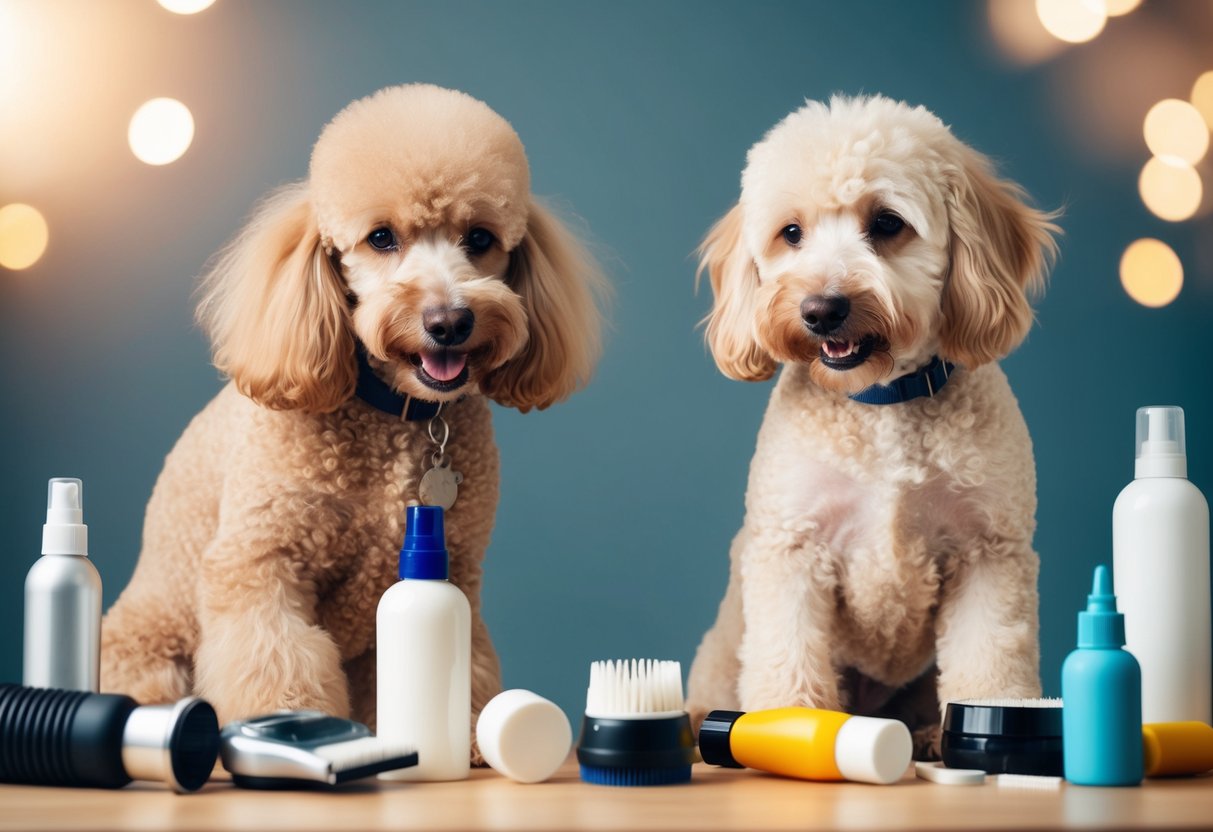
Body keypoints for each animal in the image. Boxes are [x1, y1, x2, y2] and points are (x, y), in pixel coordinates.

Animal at [99, 84, 601, 751]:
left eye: (480, 238)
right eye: (381, 238)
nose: (450, 321)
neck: (397, 415)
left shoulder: (457, 569)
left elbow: (465, 662)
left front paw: (470, 730)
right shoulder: (260, 562)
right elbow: (276, 653)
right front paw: (288, 719)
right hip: (149, 648)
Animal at [688, 94, 1057, 751]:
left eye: (887, 224)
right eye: (791, 234)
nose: (821, 309)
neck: (882, 405)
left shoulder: (988, 553)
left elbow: (989, 662)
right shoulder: (793, 550)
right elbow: (788, 655)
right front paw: (783, 729)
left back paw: (930, 734)